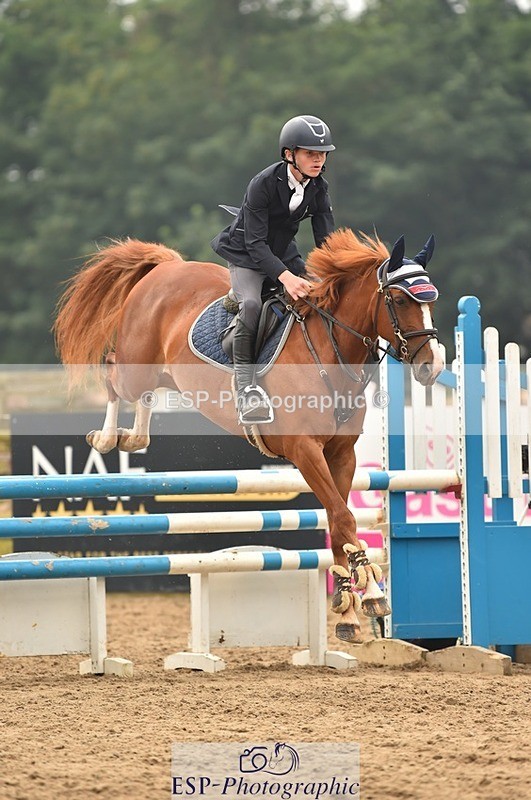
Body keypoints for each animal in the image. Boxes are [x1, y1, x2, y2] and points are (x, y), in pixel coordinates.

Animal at [54, 228, 444, 644]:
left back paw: (133, 439)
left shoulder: (341, 454)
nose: (432, 367)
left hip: (164, 372)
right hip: (137, 363)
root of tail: (166, 267)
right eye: (399, 299)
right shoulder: (305, 450)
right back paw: (107, 438)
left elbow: (338, 523)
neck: (328, 349)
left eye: (431, 300)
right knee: (113, 372)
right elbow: (344, 518)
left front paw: (347, 612)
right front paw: (370, 593)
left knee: (144, 392)